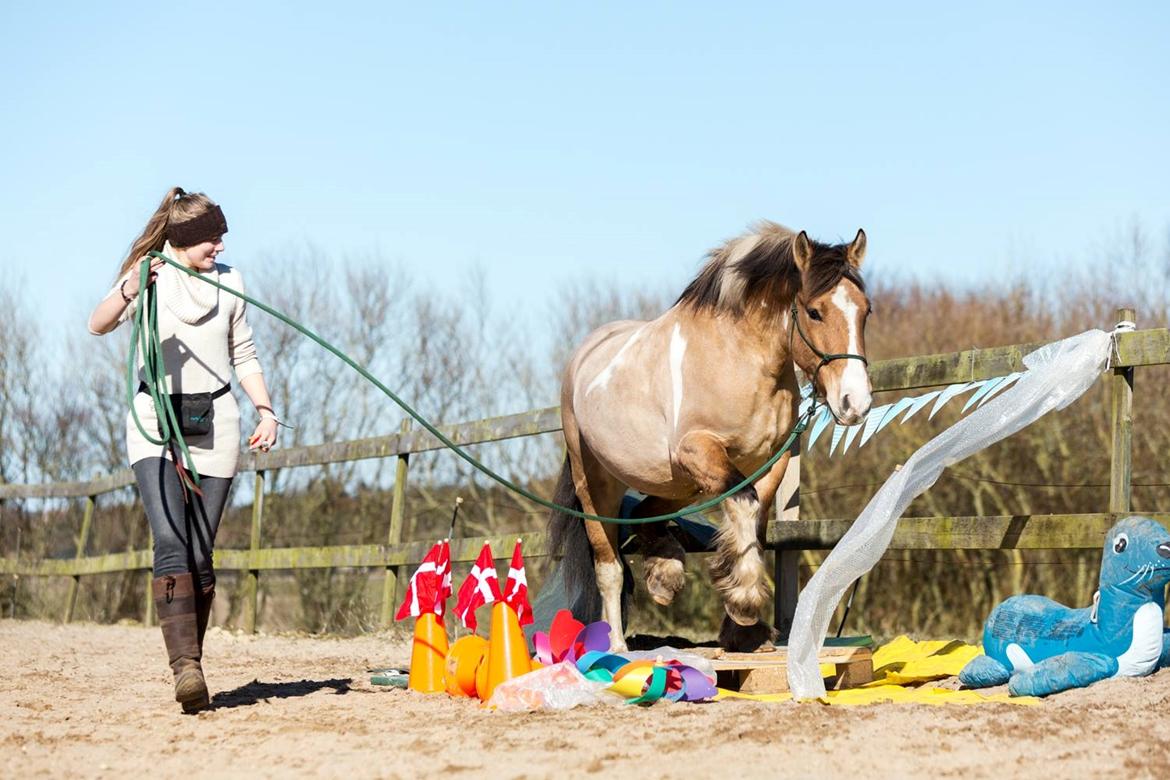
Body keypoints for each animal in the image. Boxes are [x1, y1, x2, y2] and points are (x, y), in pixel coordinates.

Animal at [547, 221, 870, 654]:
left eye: (866, 311)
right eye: (815, 312)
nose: (856, 402)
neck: (738, 359)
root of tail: (582, 358)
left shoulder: (770, 462)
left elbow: (755, 527)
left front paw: (742, 631)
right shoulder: (700, 451)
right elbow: (744, 507)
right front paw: (745, 604)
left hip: (677, 484)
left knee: (644, 514)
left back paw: (665, 574)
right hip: (597, 484)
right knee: (609, 565)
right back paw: (615, 645)